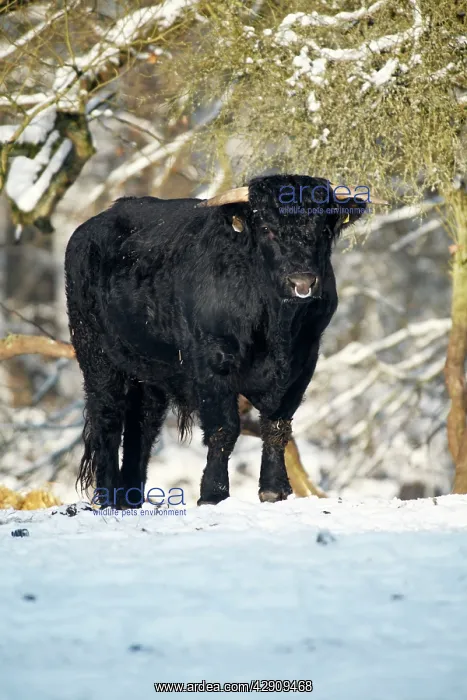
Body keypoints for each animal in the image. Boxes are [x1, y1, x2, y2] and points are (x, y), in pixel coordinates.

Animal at [65, 175, 384, 508]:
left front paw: (274, 490)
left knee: (142, 426)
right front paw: (213, 494)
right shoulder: (212, 362)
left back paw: (130, 498)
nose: (302, 282)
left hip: (150, 372)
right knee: (107, 417)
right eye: (267, 228)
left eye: (323, 229)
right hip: (97, 355)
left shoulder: (303, 363)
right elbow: (224, 428)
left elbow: (277, 426)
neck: (277, 326)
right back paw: (108, 496)